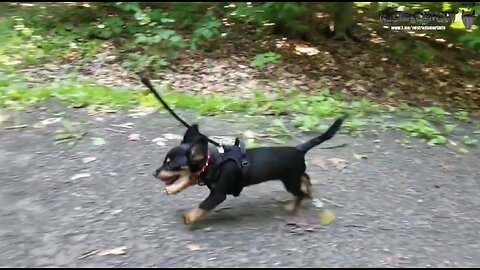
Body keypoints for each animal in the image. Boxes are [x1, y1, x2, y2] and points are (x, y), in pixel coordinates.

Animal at [153, 116, 344, 226]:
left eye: (170, 165)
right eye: (164, 162)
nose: (155, 173)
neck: (212, 162)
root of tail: (298, 149)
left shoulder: (218, 194)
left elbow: (203, 206)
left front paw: (190, 217)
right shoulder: (201, 176)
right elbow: (188, 179)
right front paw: (173, 189)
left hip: (289, 181)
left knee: (300, 193)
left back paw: (292, 206)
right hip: (293, 176)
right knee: (306, 177)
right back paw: (309, 191)